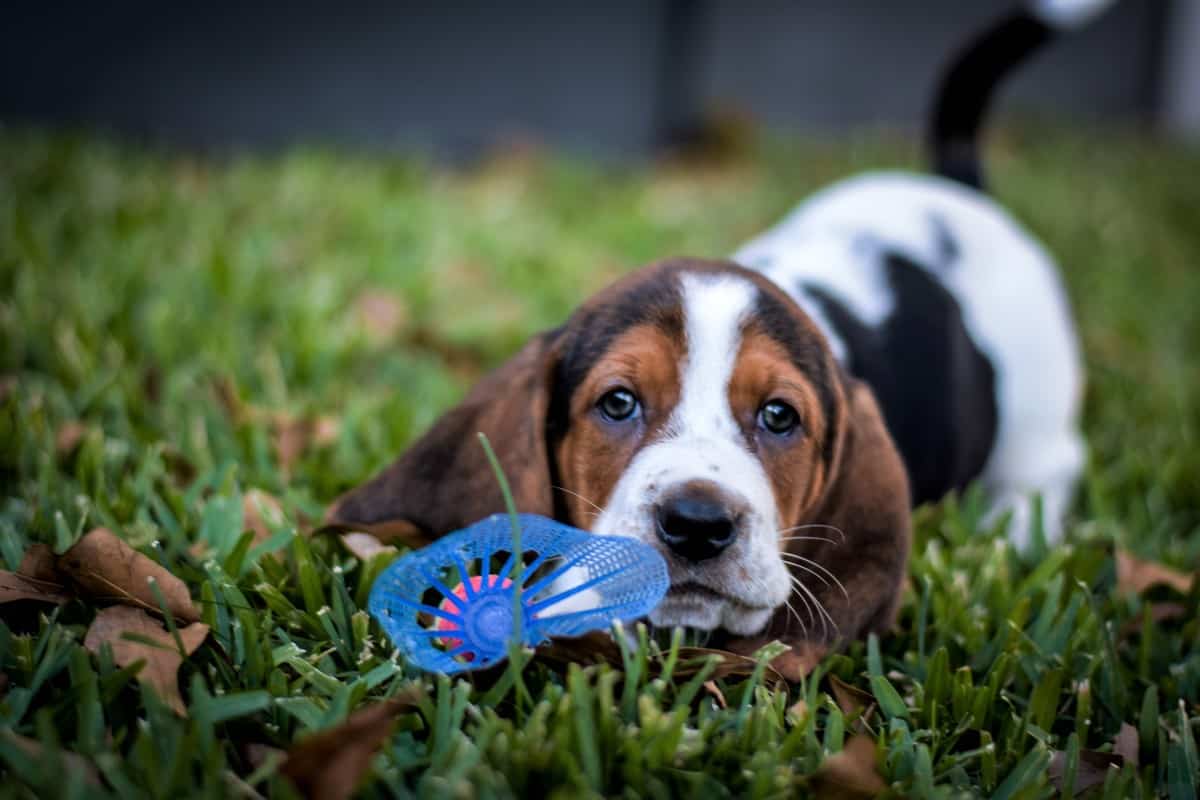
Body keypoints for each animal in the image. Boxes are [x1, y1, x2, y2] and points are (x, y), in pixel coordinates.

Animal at [326, 0, 1104, 676]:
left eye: (780, 416)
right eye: (617, 403)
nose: (697, 524)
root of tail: (959, 193)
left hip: (1038, 419)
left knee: (1044, 473)